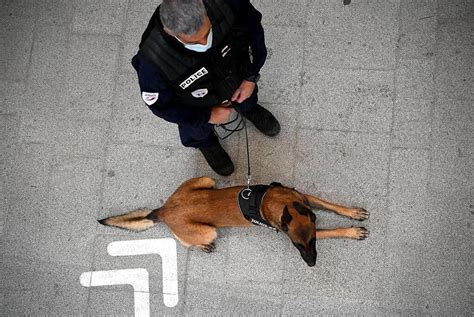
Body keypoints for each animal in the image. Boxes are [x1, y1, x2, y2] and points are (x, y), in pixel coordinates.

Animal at [98, 177, 368, 266]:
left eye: (311, 243)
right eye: (296, 246)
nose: (311, 264)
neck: (280, 203)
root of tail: (163, 210)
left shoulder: (306, 198)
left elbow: (330, 204)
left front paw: (351, 212)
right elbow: (332, 230)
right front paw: (351, 231)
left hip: (206, 180)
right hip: (208, 231)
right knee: (185, 241)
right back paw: (203, 246)